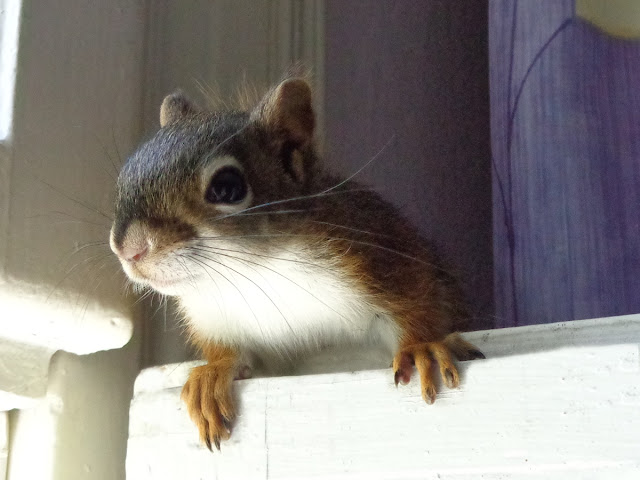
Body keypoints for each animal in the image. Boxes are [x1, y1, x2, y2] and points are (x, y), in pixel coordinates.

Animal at [110, 75, 482, 450]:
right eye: (123, 178)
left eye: (227, 187)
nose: (129, 249)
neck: (255, 275)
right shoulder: (218, 322)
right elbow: (233, 356)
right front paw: (214, 373)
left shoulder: (382, 257)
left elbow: (417, 302)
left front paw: (422, 347)